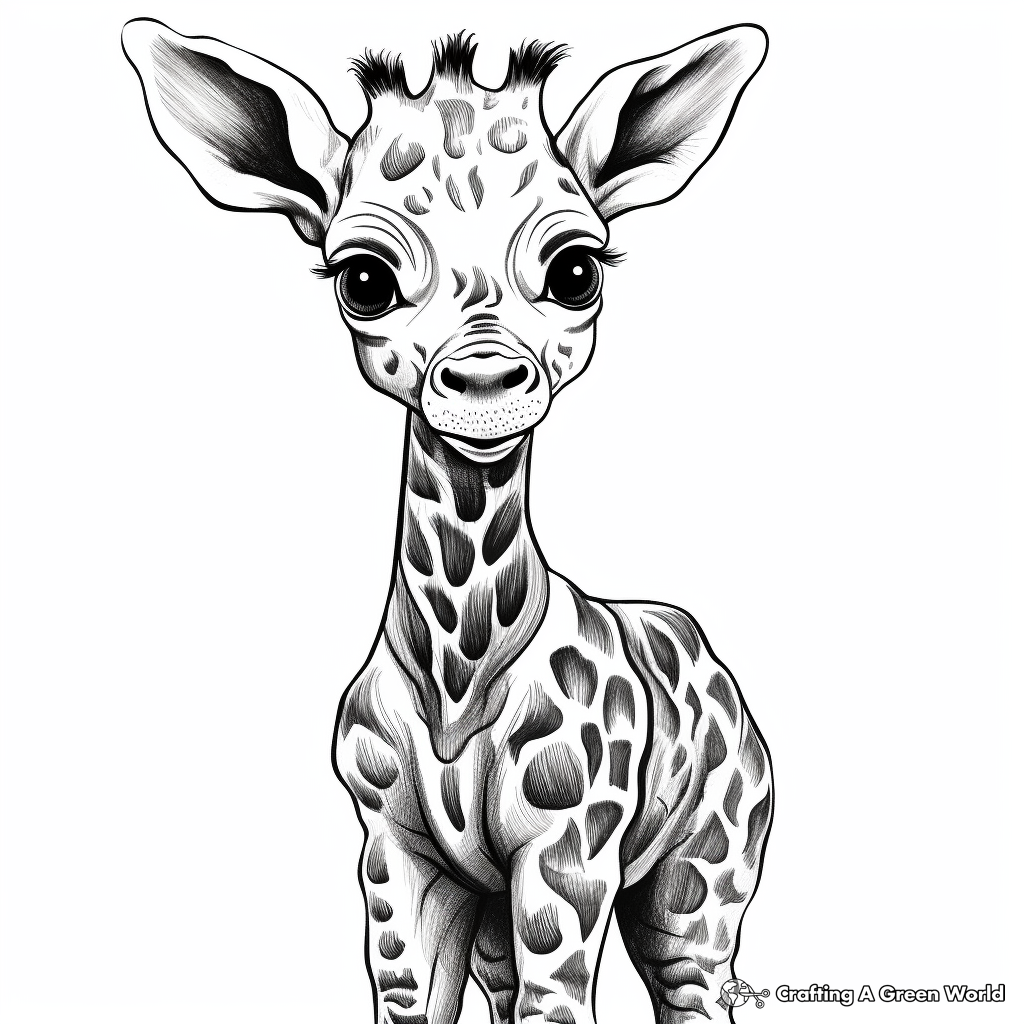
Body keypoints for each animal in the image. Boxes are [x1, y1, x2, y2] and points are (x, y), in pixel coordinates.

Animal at [123, 19, 773, 1024]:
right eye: (363, 277)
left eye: (576, 269)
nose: (484, 389)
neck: (456, 686)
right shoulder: (398, 856)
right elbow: (411, 998)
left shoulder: (568, 849)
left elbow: (560, 1005)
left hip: (702, 880)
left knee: (694, 988)